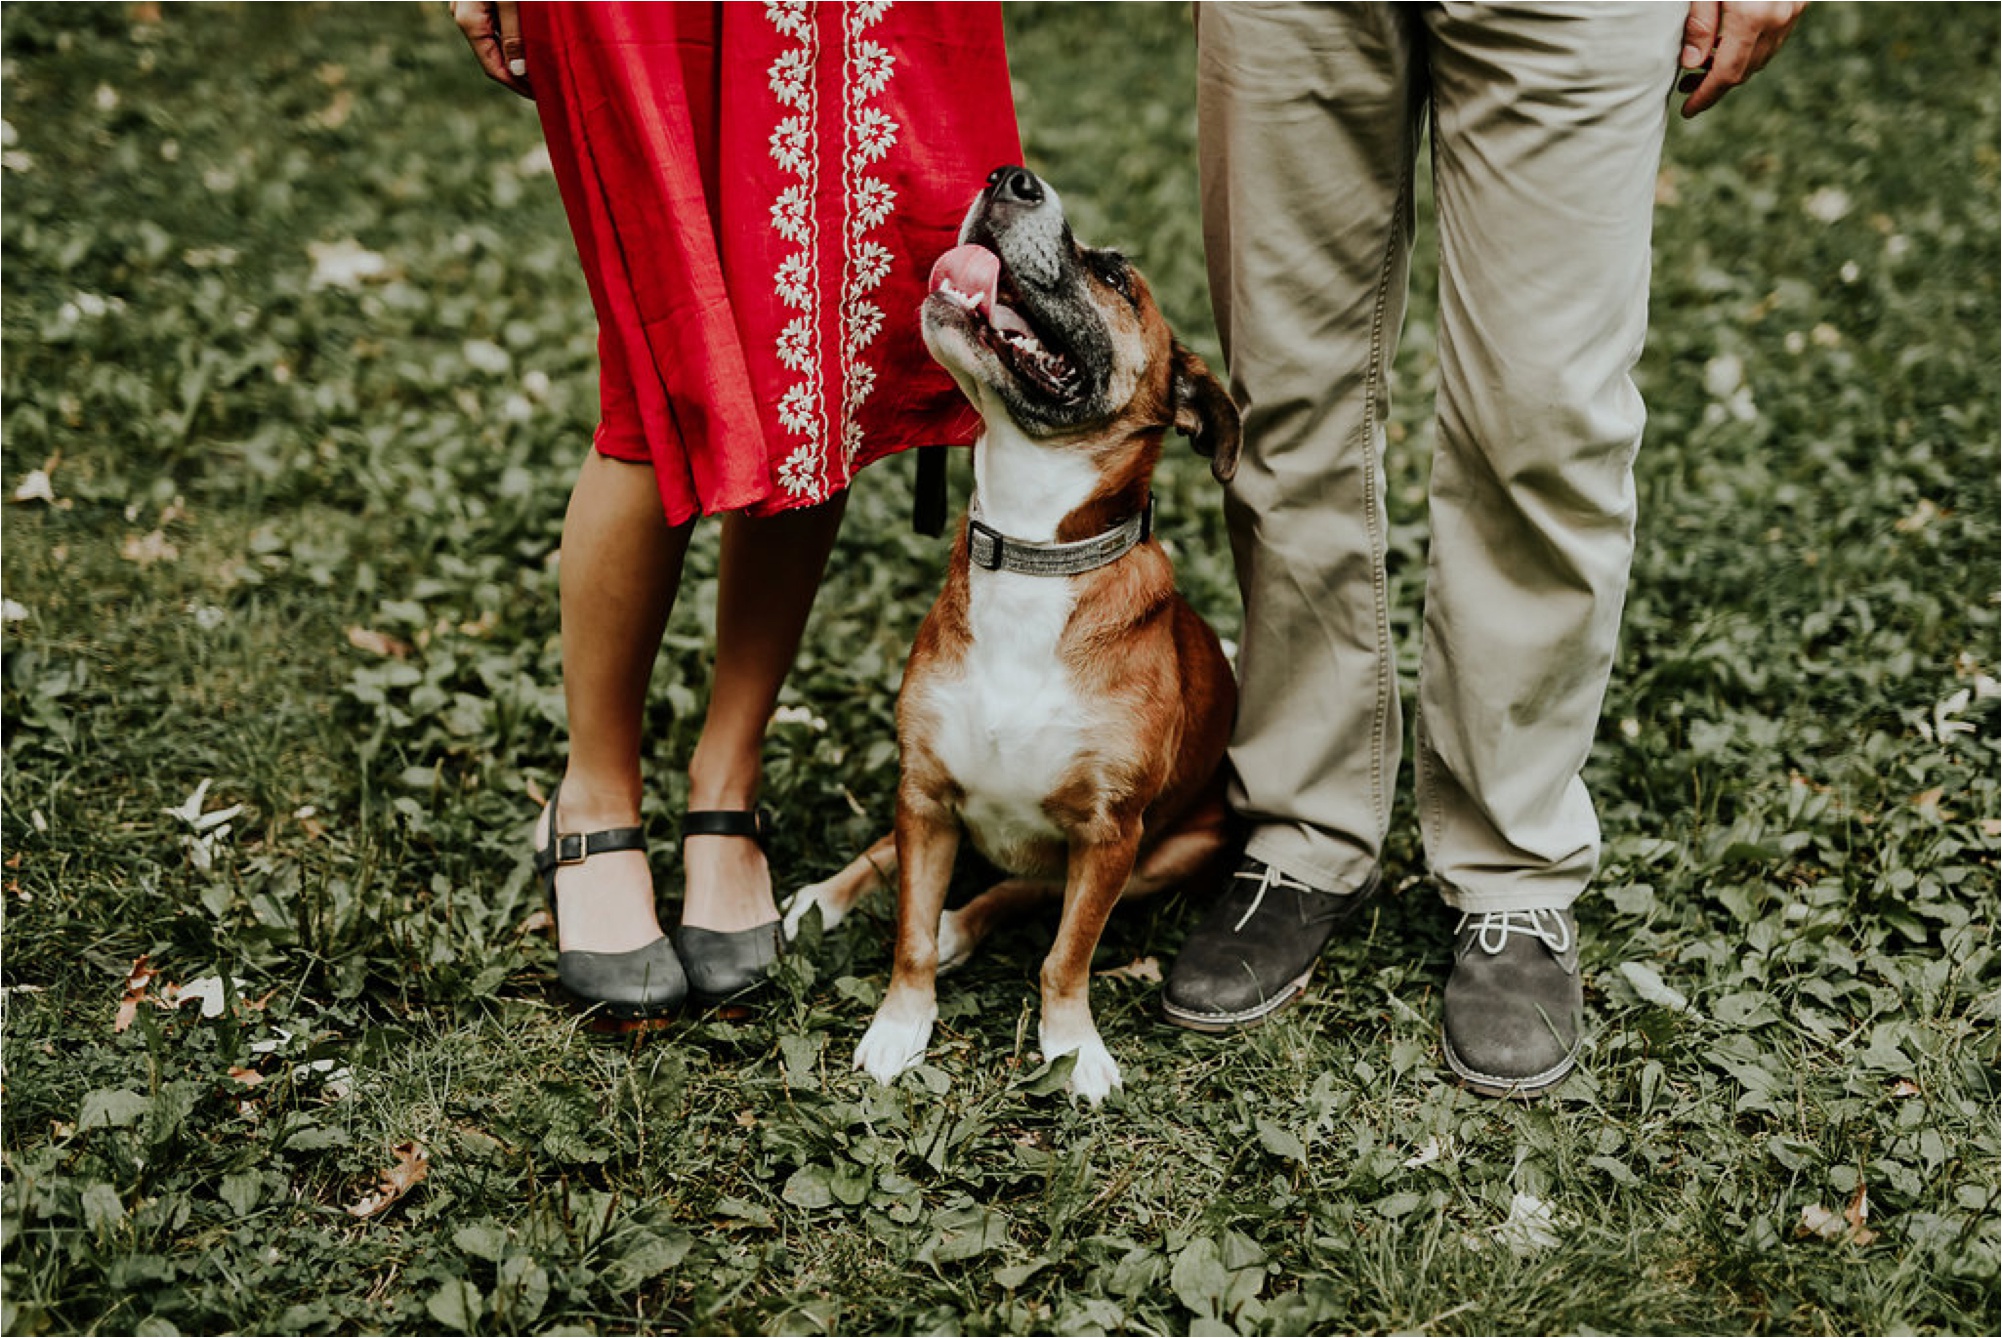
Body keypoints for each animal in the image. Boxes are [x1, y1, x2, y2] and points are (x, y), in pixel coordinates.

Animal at [780, 167, 1233, 1105]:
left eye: (1117, 276)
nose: (1010, 178)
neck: (1032, 551)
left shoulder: (1109, 832)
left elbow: (1066, 953)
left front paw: (1072, 1045)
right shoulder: (925, 791)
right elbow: (908, 936)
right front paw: (899, 1027)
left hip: (1171, 850)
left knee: (1022, 894)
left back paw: (965, 921)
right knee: (894, 857)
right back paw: (828, 898)